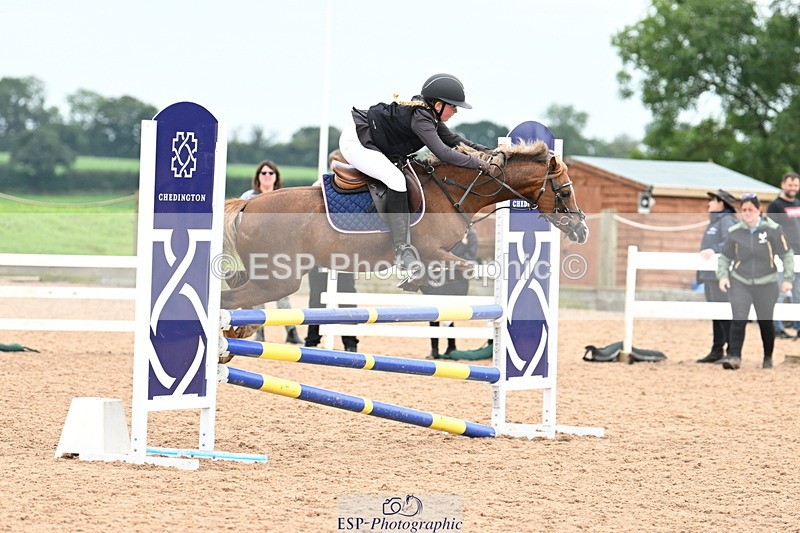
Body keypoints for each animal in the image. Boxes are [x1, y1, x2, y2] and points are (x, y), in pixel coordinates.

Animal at [220, 140, 587, 311]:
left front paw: (414, 282)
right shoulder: (432, 249)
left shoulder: (436, 254)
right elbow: (471, 267)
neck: (452, 189)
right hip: (279, 280)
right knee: (230, 300)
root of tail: (249, 204)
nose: (581, 229)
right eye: (565, 191)